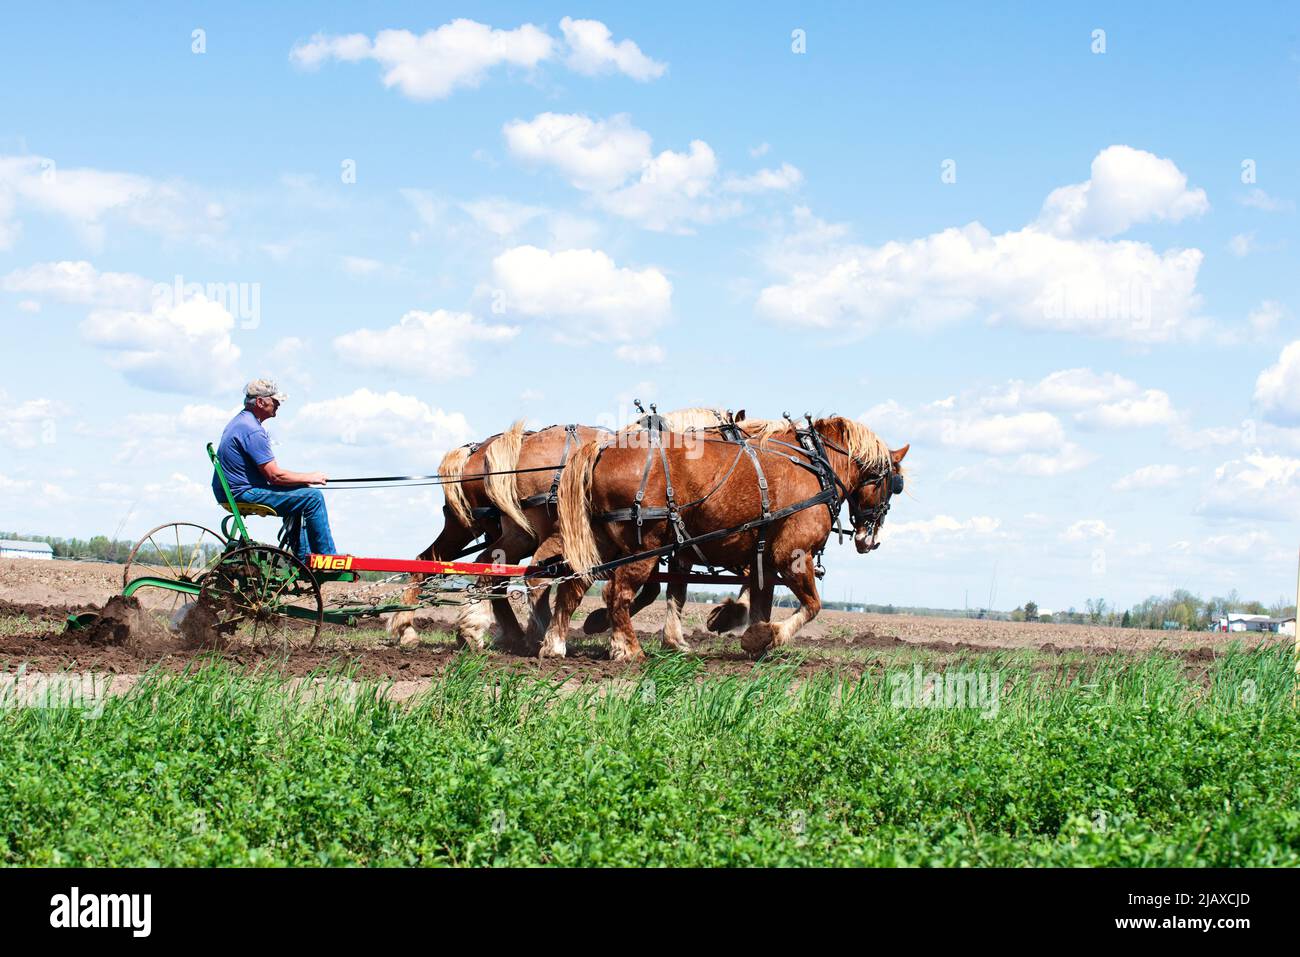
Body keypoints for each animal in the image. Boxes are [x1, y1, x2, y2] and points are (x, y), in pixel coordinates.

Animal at [553, 416, 908, 661]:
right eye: (894, 483)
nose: (869, 539)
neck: (815, 466)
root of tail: (603, 449)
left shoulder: (760, 559)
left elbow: (757, 602)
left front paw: (751, 638)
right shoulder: (791, 554)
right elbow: (812, 605)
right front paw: (764, 637)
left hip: (600, 543)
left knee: (575, 585)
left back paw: (554, 645)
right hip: (645, 546)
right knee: (617, 592)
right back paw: (628, 649)